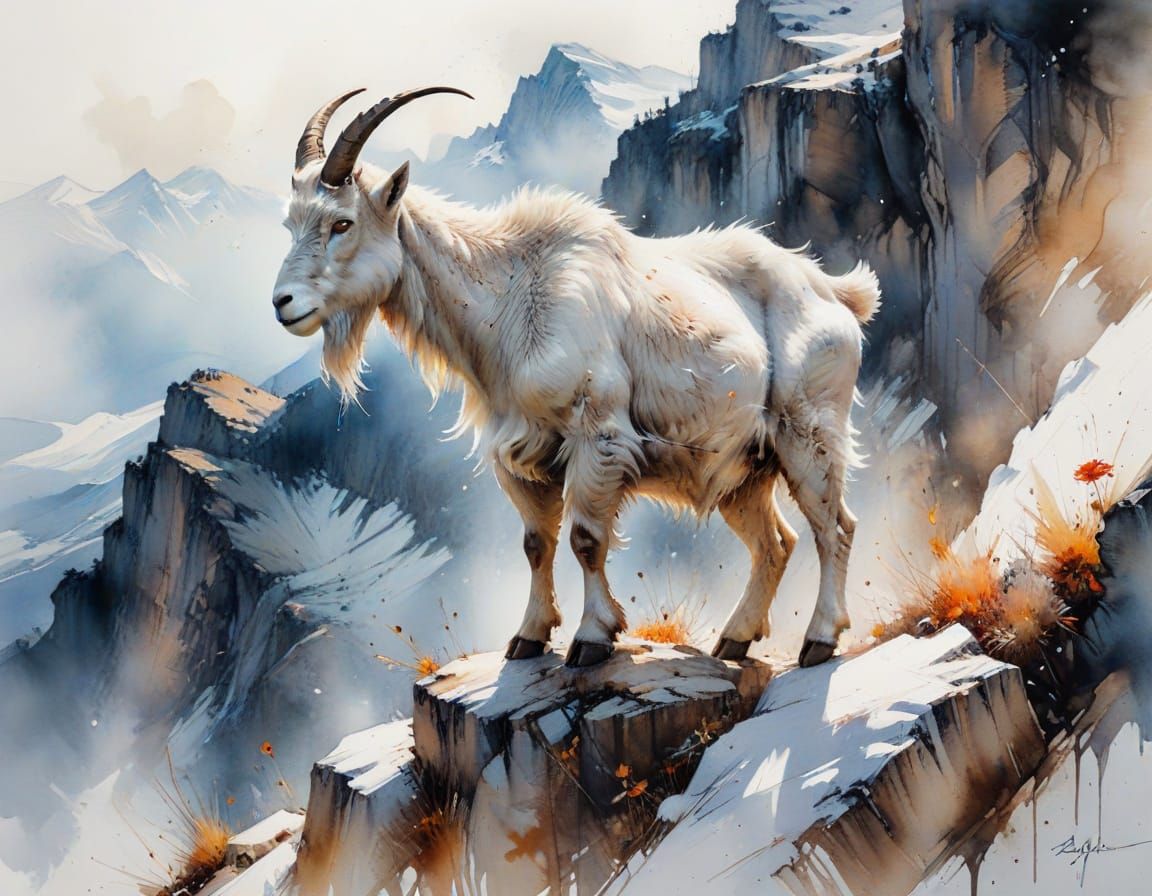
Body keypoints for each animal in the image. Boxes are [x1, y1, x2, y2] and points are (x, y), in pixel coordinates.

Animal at [272, 88, 880, 667]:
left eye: (342, 222)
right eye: (291, 223)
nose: (283, 304)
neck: (509, 295)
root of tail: (837, 293)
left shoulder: (598, 436)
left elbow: (587, 539)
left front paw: (592, 638)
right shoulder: (518, 456)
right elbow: (535, 543)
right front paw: (528, 636)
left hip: (809, 430)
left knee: (836, 526)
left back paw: (819, 640)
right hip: (745, 467)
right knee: (776, 542)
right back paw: (734, 640)